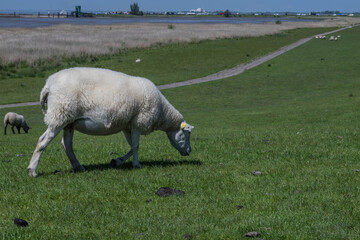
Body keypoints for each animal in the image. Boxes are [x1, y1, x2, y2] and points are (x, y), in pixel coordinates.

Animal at [27, 67, 194, 176]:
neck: (163, 114)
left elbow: (132, 146)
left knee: (67, 145)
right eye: (187, 134)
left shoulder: (128, 125)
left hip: (68, 121)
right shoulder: (138, 122)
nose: (190, 151)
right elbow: (136, 146)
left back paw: (78, 167)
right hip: (60, 114)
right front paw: (137, 164)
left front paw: (118, 161)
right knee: (42, 141)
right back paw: (32, 170)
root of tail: (48, 85)